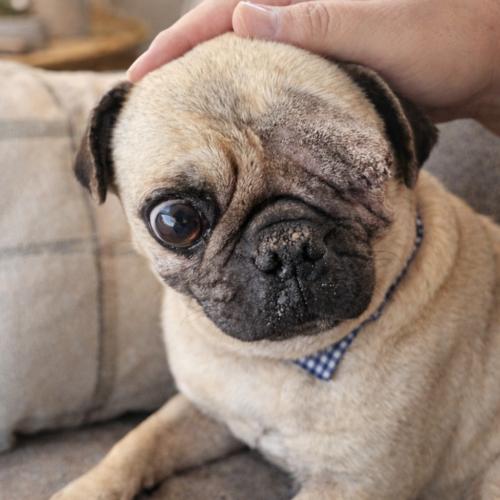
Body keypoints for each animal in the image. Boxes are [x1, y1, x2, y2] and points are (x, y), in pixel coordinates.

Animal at [51, 33, 500, 500]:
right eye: (176, 221)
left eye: (365, 176)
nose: (289, 247)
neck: (276, 358)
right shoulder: (203, 411)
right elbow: (140, 441)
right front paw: (86, 488)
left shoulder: (357, 483)